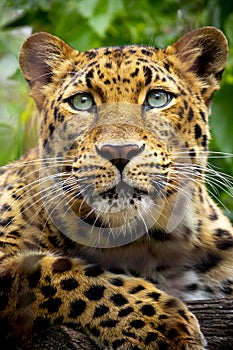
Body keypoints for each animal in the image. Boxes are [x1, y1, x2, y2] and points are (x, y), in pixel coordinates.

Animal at [0, 26, 232, 348]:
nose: (119, 151)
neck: (151, 242)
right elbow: (60, 272)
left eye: (158, 98)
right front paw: (162, 326)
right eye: (82, 102)